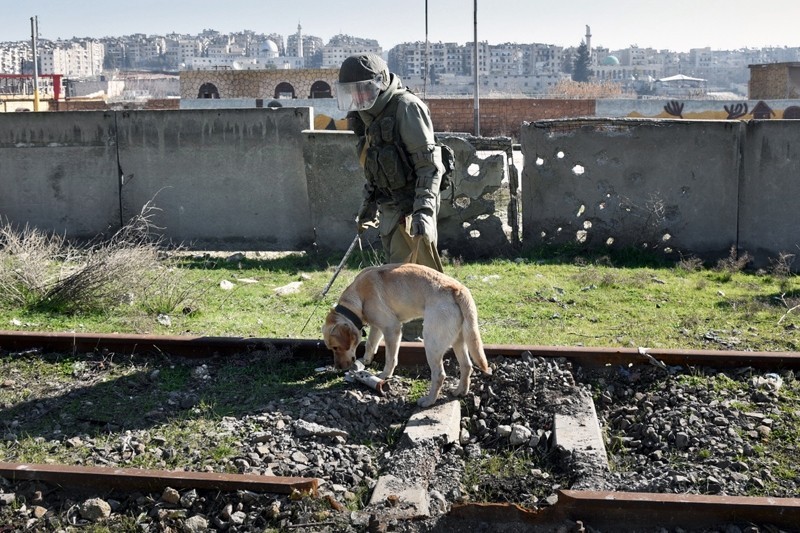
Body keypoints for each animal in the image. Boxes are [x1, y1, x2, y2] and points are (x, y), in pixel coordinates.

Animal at [322, 262, 490, 408]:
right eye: (330, 349)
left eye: (336, 347)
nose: (338, 368)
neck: (358, 296)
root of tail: (458, 288)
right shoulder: (377, 326)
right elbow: (370, 344)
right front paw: (367, 359)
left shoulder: (392, 328)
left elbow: (390, 358)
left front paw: (384, 375)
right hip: (458, 340)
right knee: (467, 366)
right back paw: (460, 391)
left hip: (431, 343)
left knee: (439, 375)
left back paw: (429, 401)